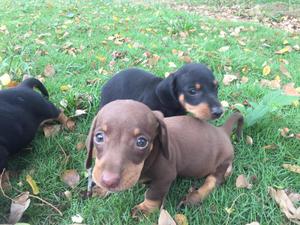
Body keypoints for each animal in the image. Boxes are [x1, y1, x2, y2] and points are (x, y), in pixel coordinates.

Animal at [85, 100, 244, 216]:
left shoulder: (164, 177)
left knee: (213, 180)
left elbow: (152, 195)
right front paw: (102, 189)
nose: (109, 181)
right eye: (99, 137)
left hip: (222, 161)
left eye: (141, 142)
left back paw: (194, 197)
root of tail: (222, 131)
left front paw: (144, 209)